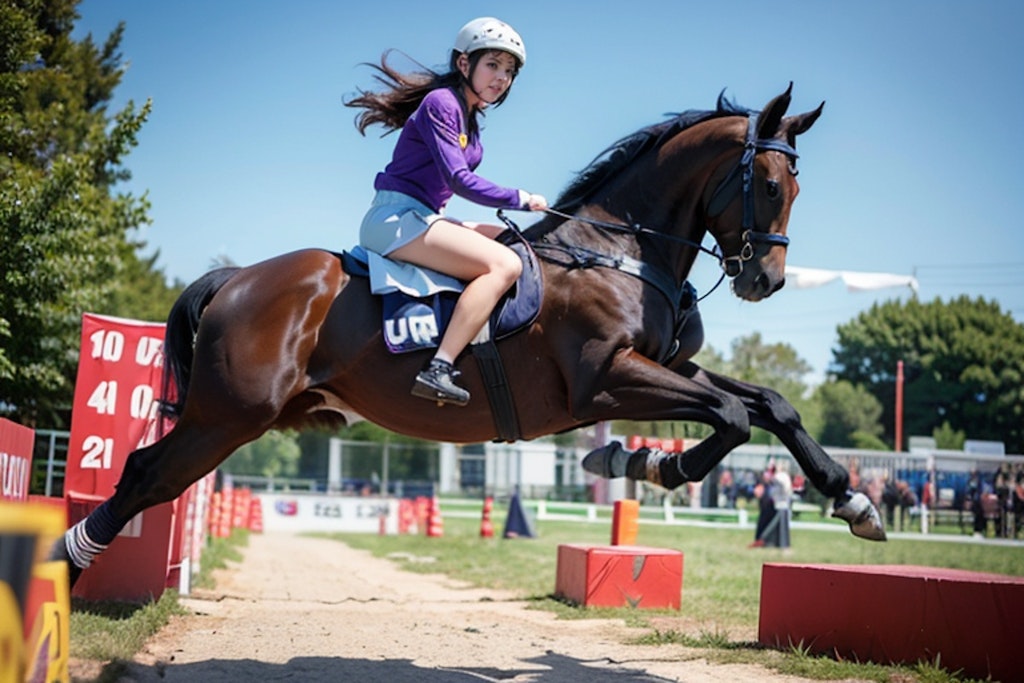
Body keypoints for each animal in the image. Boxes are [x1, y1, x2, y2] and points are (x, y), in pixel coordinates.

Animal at [56, 85, 884, 585]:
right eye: (769, 185)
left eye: (797, 187)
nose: (765, 280)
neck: (618, 245)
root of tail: (235, 278)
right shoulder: (606, 380)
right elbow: (733, 416)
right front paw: (647, 461)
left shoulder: (662, 366)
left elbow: (770, 404)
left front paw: (852, 499)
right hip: (227, 416)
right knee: (146, 475)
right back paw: (64, 573)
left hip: (232, 417)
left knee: (149, 474)